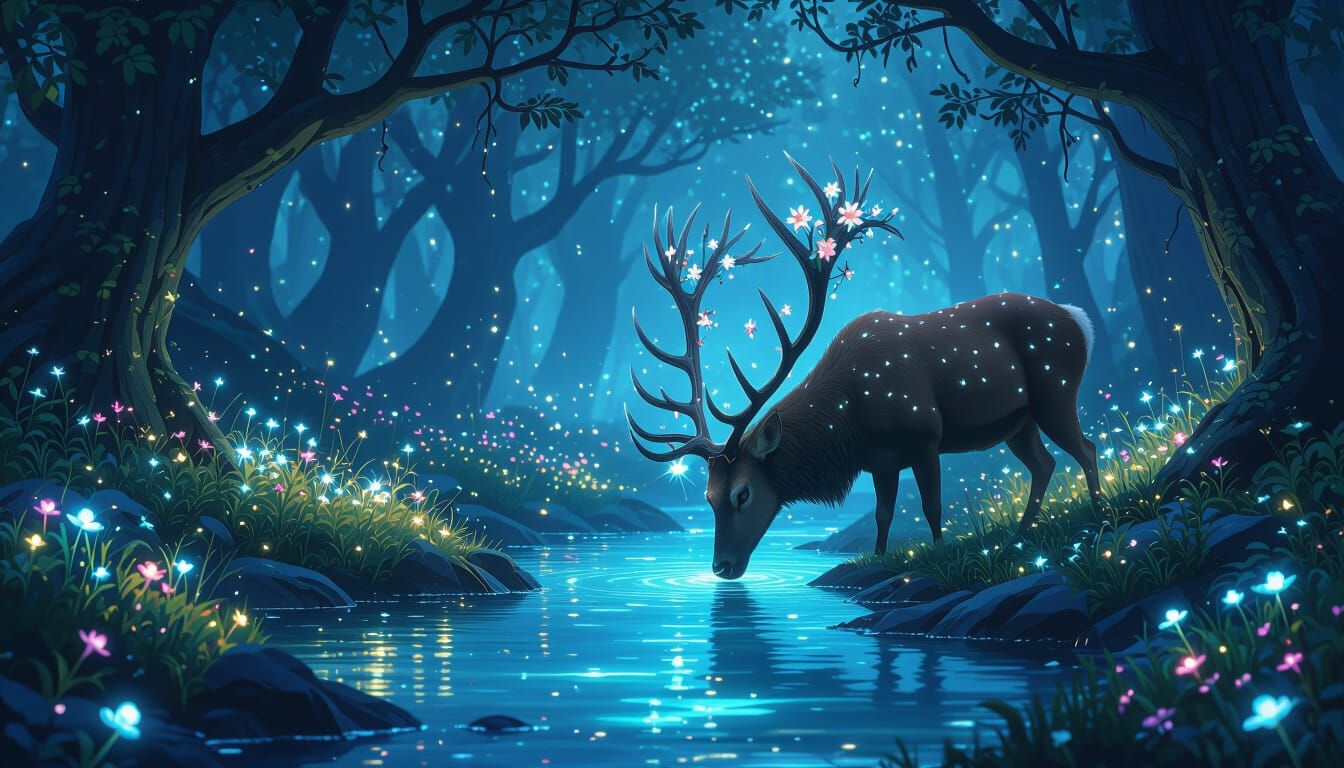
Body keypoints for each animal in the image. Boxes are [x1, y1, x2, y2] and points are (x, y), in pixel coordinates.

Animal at [626, 156, 1103, 580]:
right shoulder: (881, 461)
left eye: (743, 493)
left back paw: (1098, 522)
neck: (852, 420)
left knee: (1085, 447)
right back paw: (1018, 539)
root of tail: (1080, 320)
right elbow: (882, 514)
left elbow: (931, 506)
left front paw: (939, 554)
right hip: (1018, 422)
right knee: (1044, 464)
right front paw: (876, 558)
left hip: (1057, 391)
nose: (722, 568)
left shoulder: (925, 436)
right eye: (708, 497)